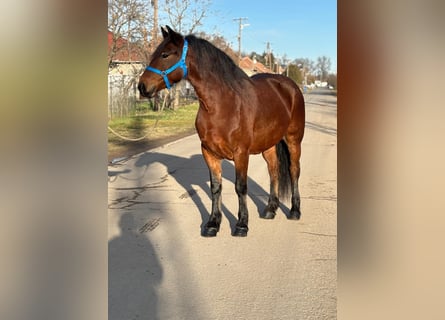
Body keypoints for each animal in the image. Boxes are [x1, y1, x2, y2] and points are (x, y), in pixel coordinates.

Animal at [139, 26, 306, 236]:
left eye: (165, 54)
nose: (142, 86)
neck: (222, 105)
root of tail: (290, 86)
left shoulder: (241, 153)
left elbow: (240, 187)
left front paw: (242, 224)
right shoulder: (209, 152)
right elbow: (215, 188)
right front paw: (212, 223)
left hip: (293, 140)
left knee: (294, 171)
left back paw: (294, 211)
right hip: (269, 144)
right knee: (273, 171)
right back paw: (270, 209)